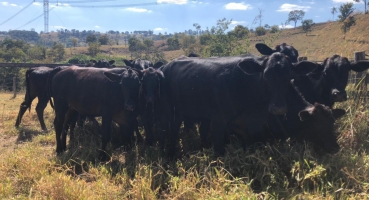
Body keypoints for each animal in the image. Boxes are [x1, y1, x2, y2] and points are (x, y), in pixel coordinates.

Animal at [157, 53, 314, 156]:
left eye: (290, 76)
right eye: (266, 74)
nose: (278, 108)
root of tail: (166, 65)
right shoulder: (219, 122)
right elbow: (219, 150)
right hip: (172, 112)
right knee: (172, 130)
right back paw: (170, 155)